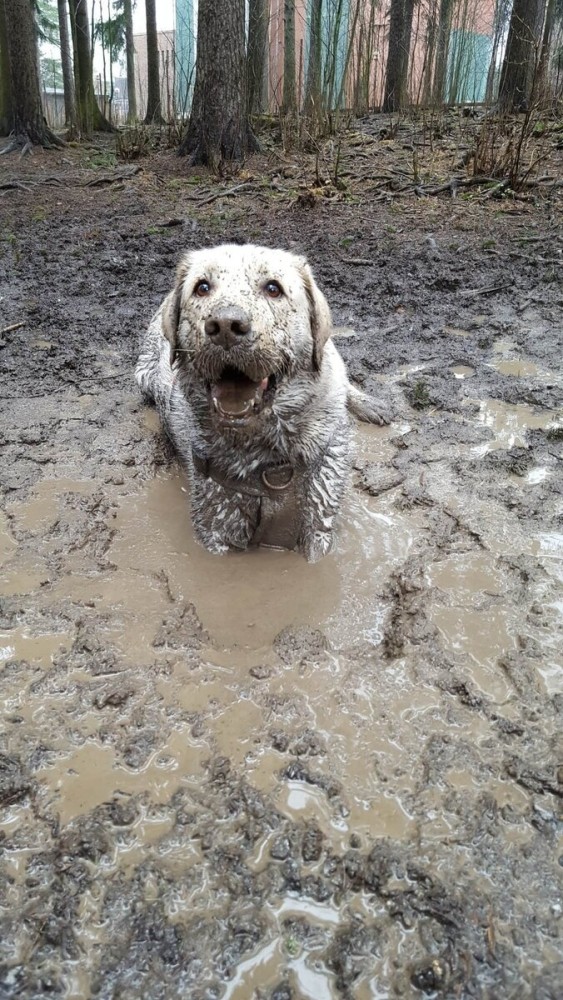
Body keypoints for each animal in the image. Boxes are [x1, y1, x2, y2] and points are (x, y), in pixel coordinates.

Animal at [134, 244, 386, 564]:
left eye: (273, 288)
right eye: (202, 287)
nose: (225, 325)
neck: (269, 460)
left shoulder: (319, 522)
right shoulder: (216, 525)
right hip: (143, 375)